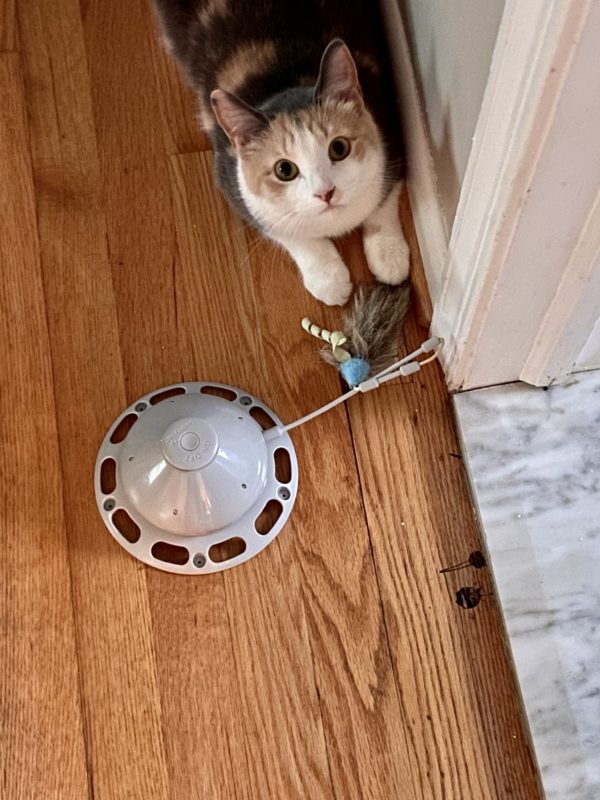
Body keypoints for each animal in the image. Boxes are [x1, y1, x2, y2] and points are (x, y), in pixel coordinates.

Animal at [152, 0, 410, 306]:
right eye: (284, 170)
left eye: (339, 148)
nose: (326, 193)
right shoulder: (232, 182)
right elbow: (285, 229)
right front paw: (328, 278)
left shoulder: (390, 127)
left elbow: (384, 200)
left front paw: (389, 254)